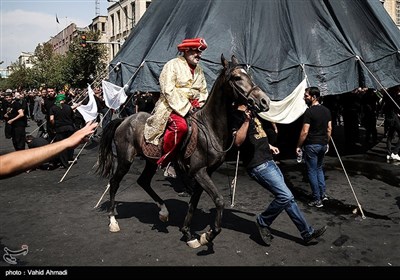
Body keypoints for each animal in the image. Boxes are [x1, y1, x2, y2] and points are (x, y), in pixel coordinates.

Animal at [97, 54, 272, 249]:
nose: (264, 101)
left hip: (151, 161)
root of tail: (124, 120)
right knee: (114, 182)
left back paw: (163, 211)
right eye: (236, 77)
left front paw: (188, 234)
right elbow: (219, 201)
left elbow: (193, 201)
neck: (209, 128)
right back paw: (113, 221)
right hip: (125, 159)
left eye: (249, 75)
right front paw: (208, 235)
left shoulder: (205, 172)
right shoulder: (199, 171)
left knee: (143, 181)